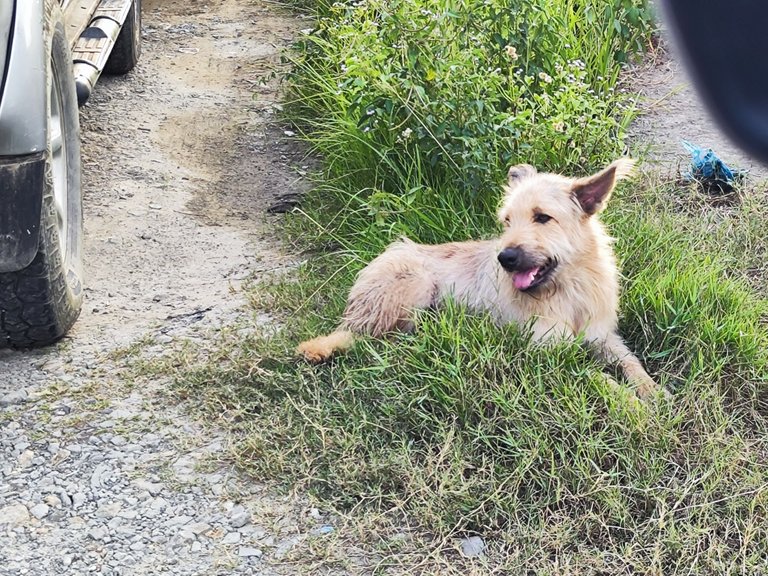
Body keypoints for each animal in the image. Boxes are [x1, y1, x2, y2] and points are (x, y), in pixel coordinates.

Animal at [296, 159, 664, 400]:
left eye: (543, 217)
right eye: (507, 221)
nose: (505, 258)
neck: (564, 289)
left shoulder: (602, 336)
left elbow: (629, 361)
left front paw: (651, 390)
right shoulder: (547, 354)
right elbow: (596, 375)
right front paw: (632, 404)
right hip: (413, 287)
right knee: (367, 336)